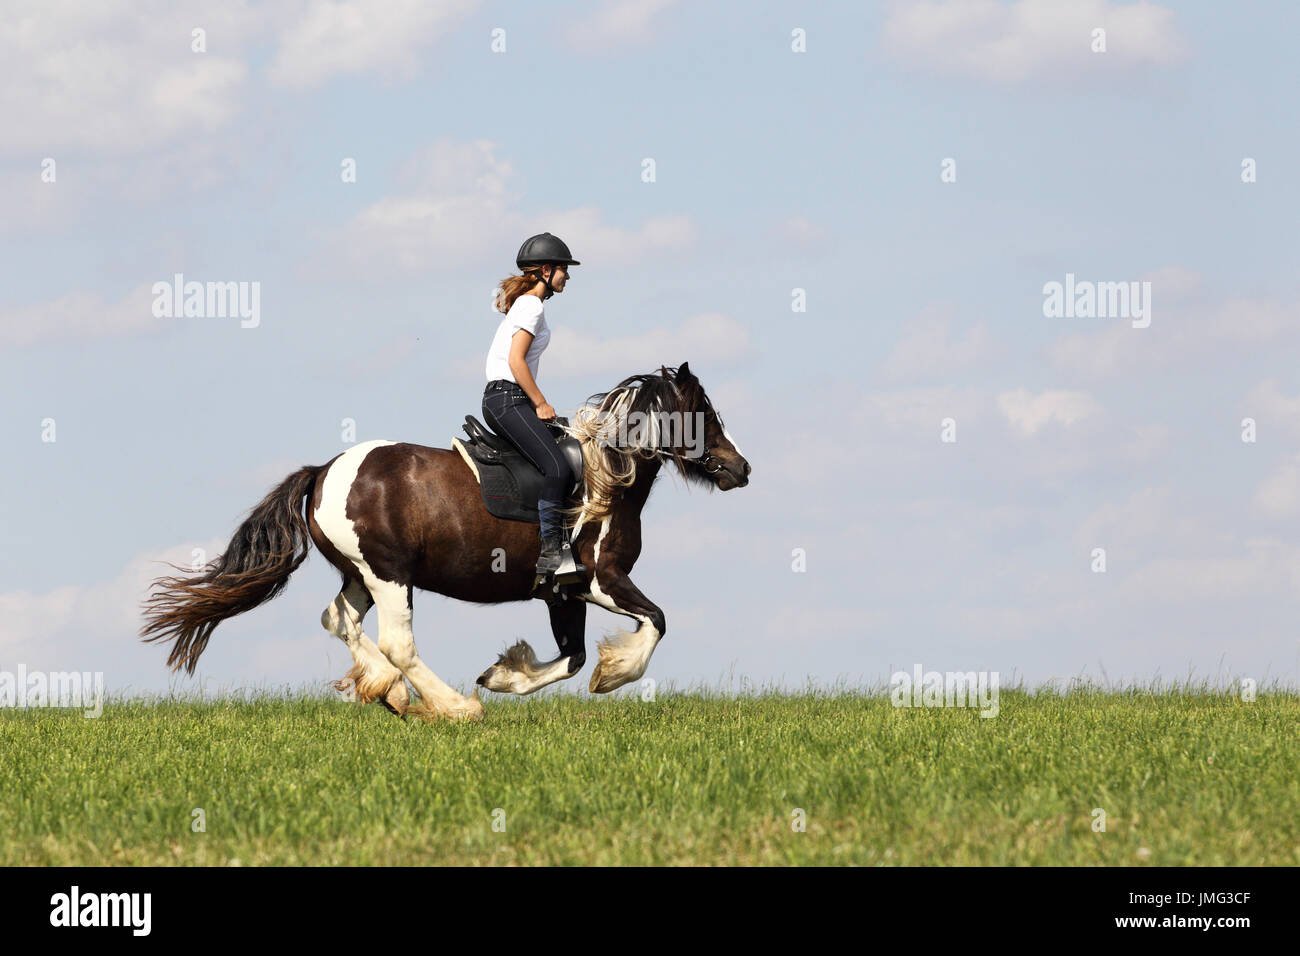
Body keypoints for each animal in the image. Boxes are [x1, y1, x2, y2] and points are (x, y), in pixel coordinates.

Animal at [141, 361, 754, 723]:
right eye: (702, 412)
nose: (740, 468)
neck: (607, 478)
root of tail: (323, 472)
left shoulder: (562, 592)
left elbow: (572, 658)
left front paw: (503, 674)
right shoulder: (600, 579)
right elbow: (653, 624)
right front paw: (616, 673)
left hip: (360, 574)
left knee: (339, 619)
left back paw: (390, 691)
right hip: (389, 574)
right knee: (396, 643)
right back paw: (453, 706)